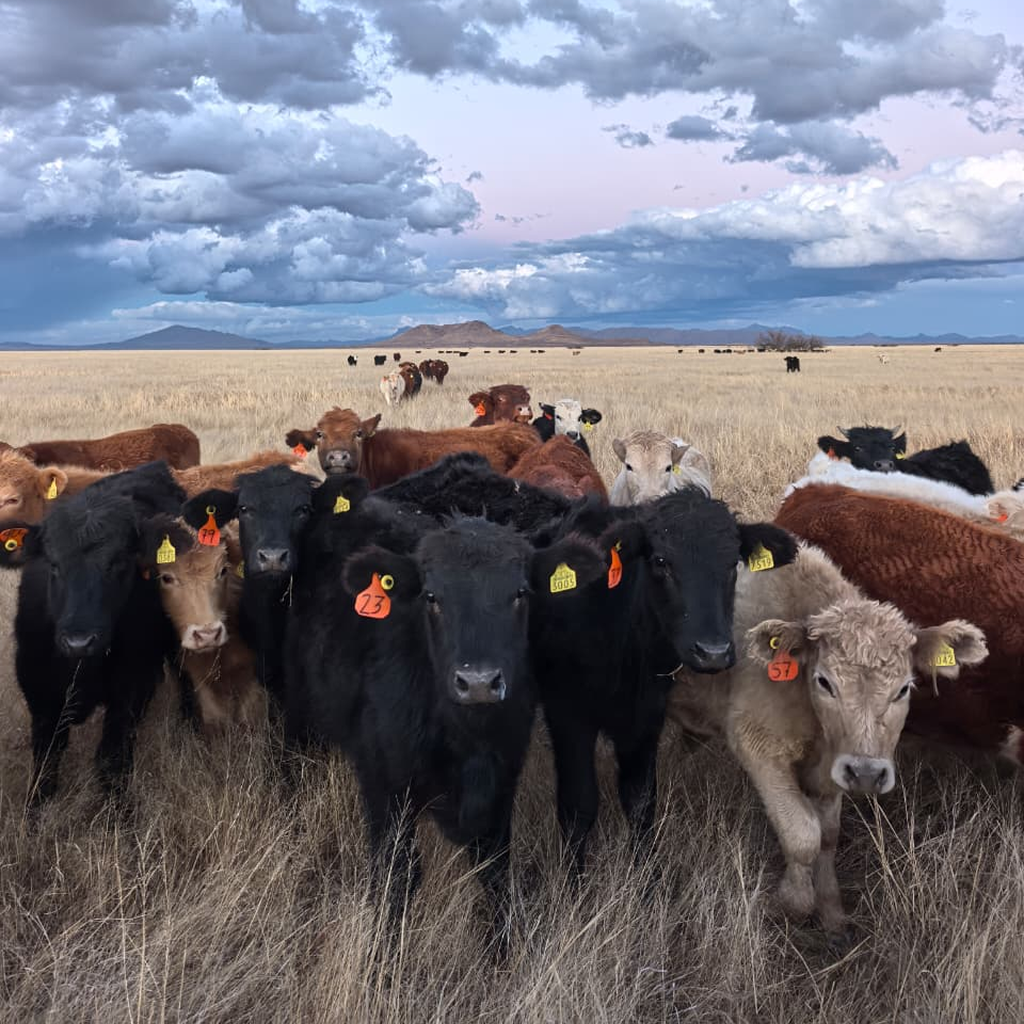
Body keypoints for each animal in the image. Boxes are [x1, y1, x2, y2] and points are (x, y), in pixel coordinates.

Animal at [0, 462, 184, 803]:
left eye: (119, 562)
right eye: (53, 564)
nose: (79, 641)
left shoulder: (129, 689)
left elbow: (112, 761)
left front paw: (122, 814)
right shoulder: (38, 692)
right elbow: (46, 766)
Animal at [140, 518, 262, 732]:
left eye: (223, 571)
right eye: (166, 577)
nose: (208, 635)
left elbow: (249, 720)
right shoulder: (198, 675)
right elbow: (214, 721)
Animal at [288, 501, 606, 939]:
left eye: (520, 593)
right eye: (432, 596)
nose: (479, 683)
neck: (463, 737)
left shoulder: (502, 778)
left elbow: (495, 872)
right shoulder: (383, 785)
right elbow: (396, 878)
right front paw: (385, 953)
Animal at [531, 489, 797, 872]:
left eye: (732, 563)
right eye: (660, 561)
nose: (712, 652)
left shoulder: (645, 718)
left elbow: (640, 802)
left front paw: (646, 875)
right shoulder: (567, 717)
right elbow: (578, 807)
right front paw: (574, 880)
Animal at [668, 544, 986, 935]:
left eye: (903, 688)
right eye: (824, 681)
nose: (867, 773)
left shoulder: (831, 770)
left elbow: (829, 836)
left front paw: (832, 912)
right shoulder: (758, 744)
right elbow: (803, 833)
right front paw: (792, 902)